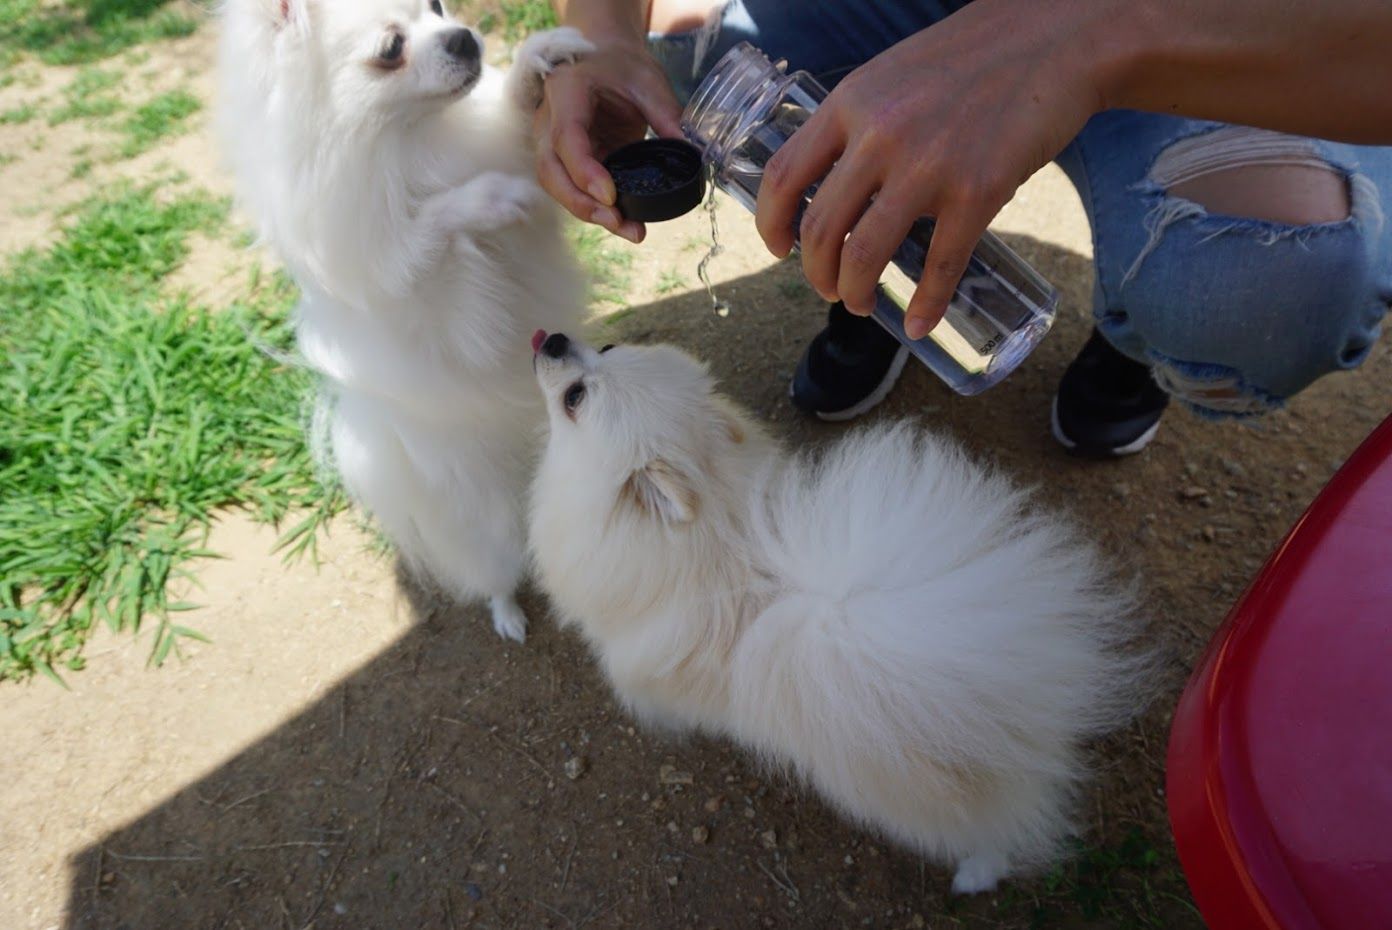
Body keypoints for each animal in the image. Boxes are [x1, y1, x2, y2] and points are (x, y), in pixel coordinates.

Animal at [217, 0, 592, 640]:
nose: (463, 38)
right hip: (485, 521)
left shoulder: (501, 146)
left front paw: (537, 60)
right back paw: (508, 615)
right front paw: (492, 199)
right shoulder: (436, 295)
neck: (411, 142)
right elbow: (435, 223)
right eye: (391, 49)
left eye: (436, 8)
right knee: (493, 570)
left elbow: (511, 118)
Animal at [528, 334, 1152, 891]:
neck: (716, 537)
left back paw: (975, 877)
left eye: (577, 396)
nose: (552, 339)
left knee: (995, 837)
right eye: (604, 349)